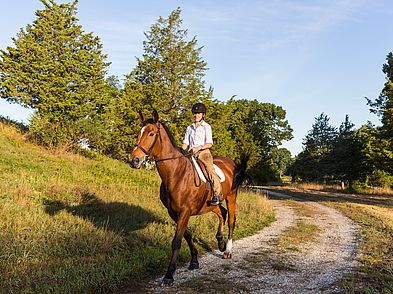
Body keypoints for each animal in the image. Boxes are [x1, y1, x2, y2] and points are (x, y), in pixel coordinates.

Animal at [128, 109, 248, 286]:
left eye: (151, 133)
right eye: (138, 134)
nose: (134, 160)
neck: (176, 173)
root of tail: (231, 163)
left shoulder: (184, 211)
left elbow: (176, 241)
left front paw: (169, 276)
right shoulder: (174, 212)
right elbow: (187, 235)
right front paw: (194, 261)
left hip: (231, 197)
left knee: (231, 220)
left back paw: (227, 251)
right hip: (211, 204)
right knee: (222, 212)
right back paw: (219, 242)